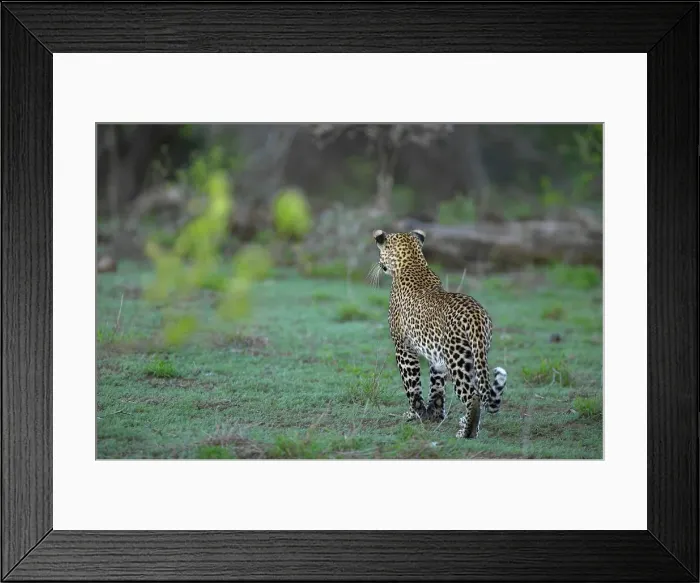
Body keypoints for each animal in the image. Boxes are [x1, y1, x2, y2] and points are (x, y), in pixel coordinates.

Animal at [369, 228, 507, 439]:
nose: (379, 265)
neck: (412, 263)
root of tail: (476, 315)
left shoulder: (403, 348)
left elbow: (412, 385)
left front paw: (414, 413)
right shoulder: (437, 357)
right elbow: (436, 387)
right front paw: (434, 414)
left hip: (457, 360)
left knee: (473, 396)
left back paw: (466, 432)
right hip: (476, 356)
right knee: (479, 391)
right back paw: (467, 424)